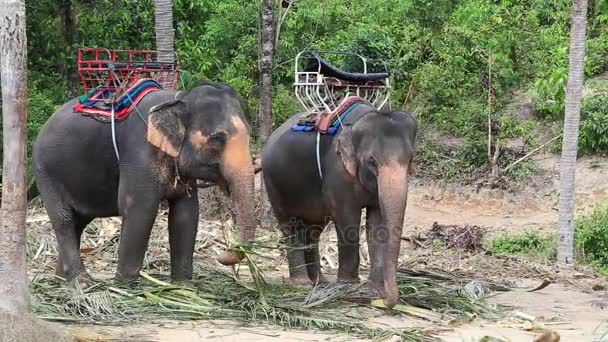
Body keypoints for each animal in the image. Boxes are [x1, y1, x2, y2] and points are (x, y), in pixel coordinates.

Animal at [33, 83, 256, 284]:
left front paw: (183, 286)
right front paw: (126, 287)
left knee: (77, 222)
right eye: (216, 139)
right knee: (64, 219)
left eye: (249, 134)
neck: (178, 97)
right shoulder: (139, 154)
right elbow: (141, 210)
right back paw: (82, 283)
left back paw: (61, 280)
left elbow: (186, 213)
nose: (221, 255)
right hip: (46, 172)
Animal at [262, 104, 418, 308]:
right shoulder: (338, 172)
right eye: (372, 160)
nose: (386, 302)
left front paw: (373, 289)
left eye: (410, 159)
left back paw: (319, 283)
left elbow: (377, 223)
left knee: (313, 230)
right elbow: (347, 218)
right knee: (290, 225)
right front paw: (348, 286)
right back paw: (301, 284)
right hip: (274, 185)